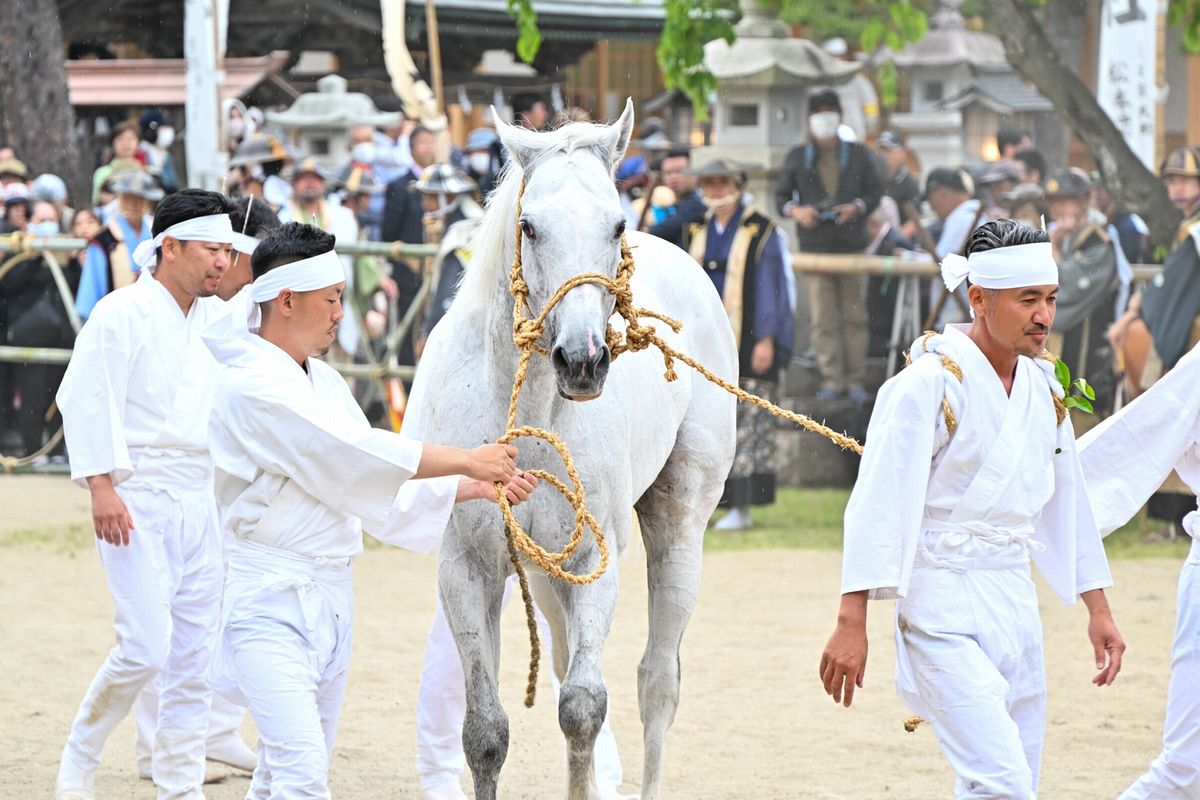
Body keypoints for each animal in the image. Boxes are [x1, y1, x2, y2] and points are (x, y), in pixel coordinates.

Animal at [408, 101, 734, 800]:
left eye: (617, 224)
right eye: (529, 227)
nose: (582, 360)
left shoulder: (594, 557)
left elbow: (582, 707)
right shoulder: (465, 567)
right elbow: (485, 732)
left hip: (678, 522)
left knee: (656, 681)